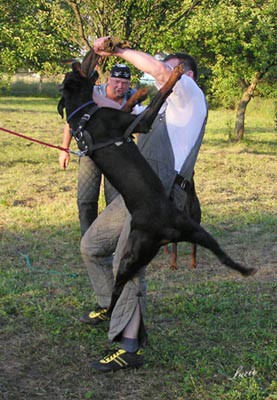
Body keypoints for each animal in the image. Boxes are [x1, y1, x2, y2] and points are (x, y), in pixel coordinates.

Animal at [57, 49, 256, 312]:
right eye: (76, 70)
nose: (77, 59)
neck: (82, 114)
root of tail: (165, 233)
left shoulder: (129, 122)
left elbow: (129, 104)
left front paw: (138, 93)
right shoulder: (141, 123)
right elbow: (162, 95)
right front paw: (172, 75)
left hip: (196, 230)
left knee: (222, 255)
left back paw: (245, 269)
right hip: (135, 254)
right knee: (118, 289)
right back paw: (107, 313)